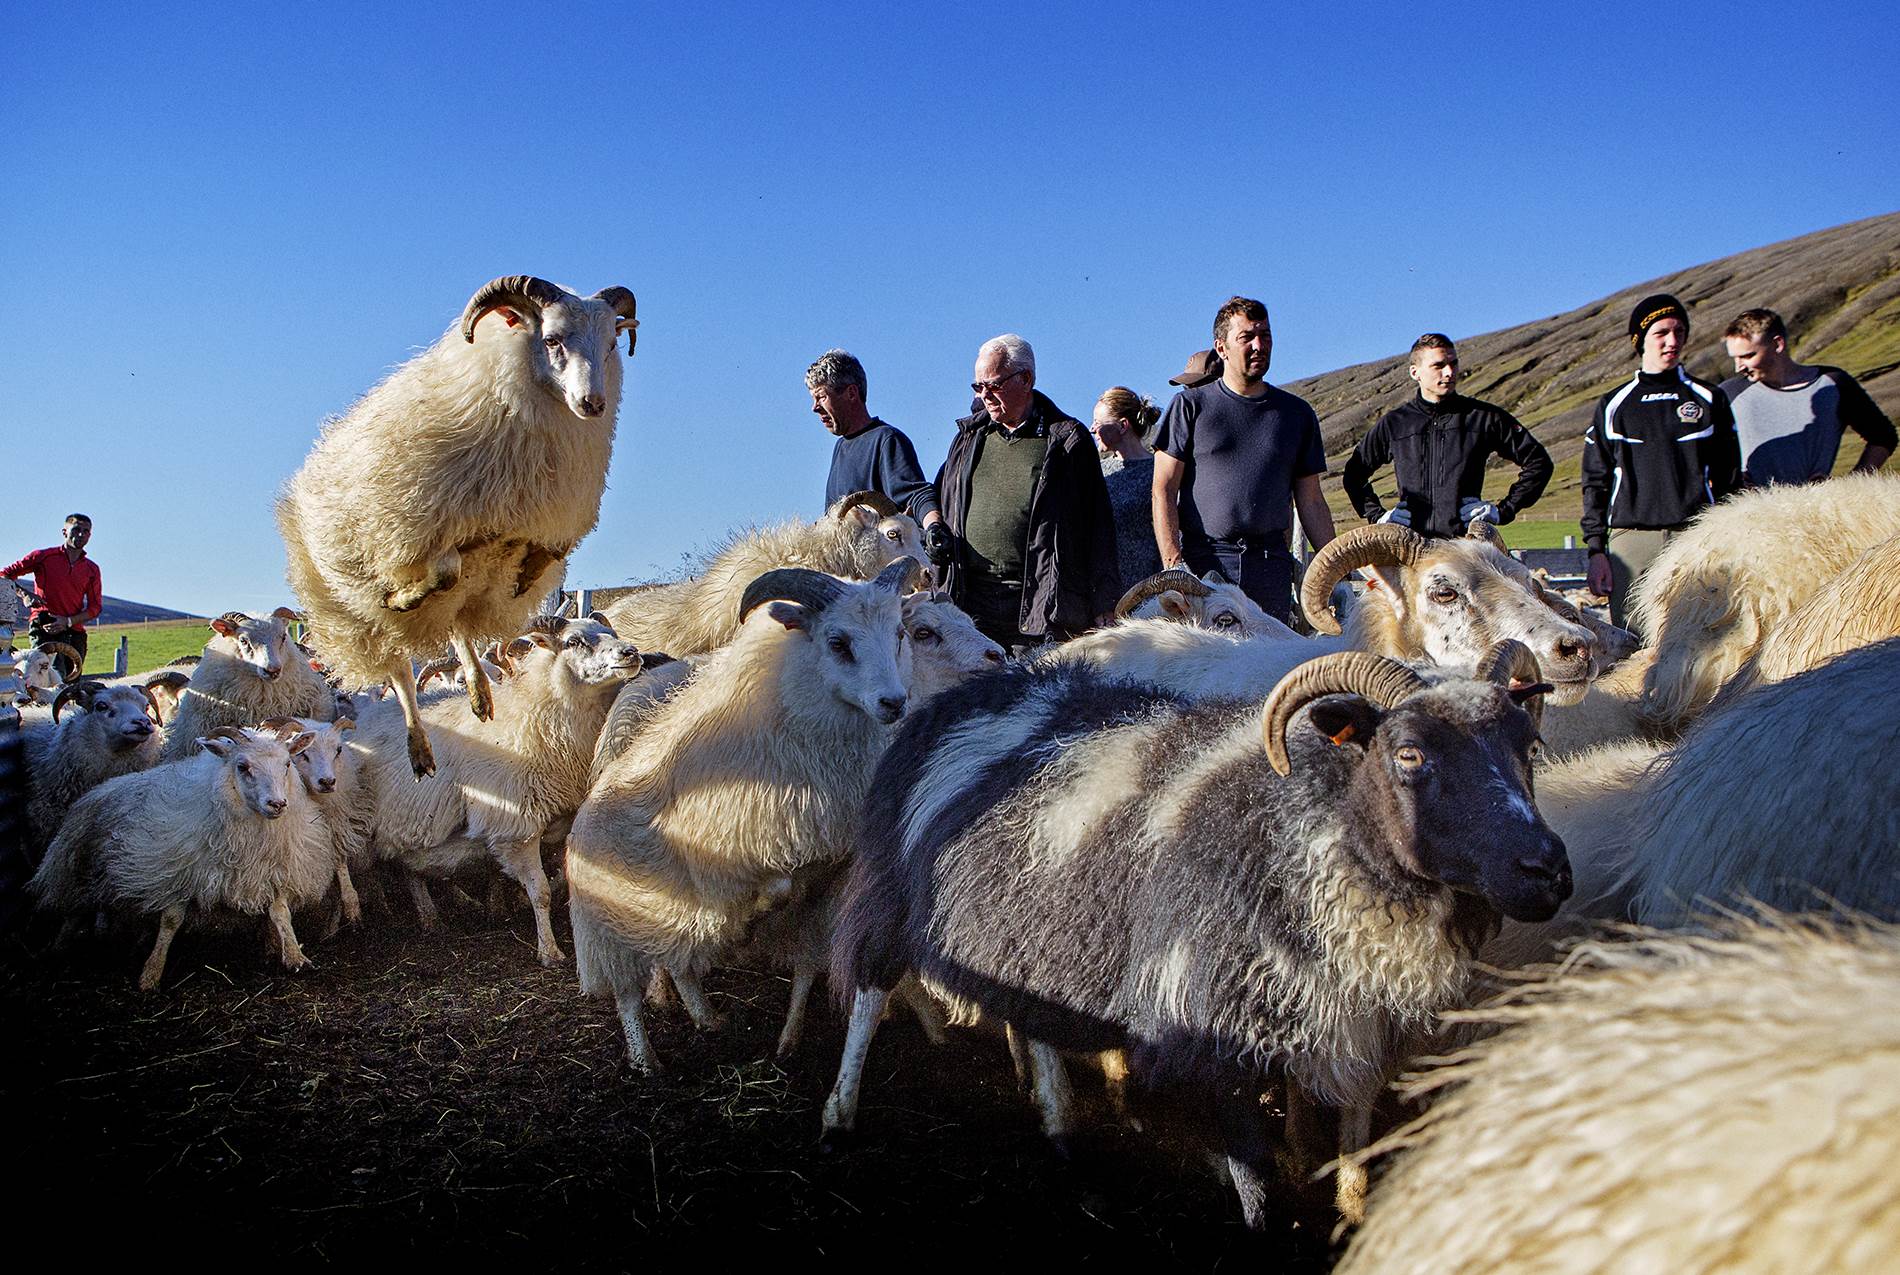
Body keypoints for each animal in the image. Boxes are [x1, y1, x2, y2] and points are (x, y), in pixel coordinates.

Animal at [30, 729, 330, 988]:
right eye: (242, 766)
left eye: (287, 764)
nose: (277, 804)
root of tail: (100, 788)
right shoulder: (178, 873)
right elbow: (171, 921)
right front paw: (151, 973)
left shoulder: (273, 869)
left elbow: (280, 912)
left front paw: (293, 955)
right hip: (77, 868)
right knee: (73, 910)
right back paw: (58, 946)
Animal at [277, 277, 642, 779]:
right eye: (552, 339)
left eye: (610, 344)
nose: (593, 404)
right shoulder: (429, 528)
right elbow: (443, 571)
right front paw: (402, 596)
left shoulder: (543, 514)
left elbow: (543, 553)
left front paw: (528, 573)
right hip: (359, 616)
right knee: (402, 670)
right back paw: (419, 744)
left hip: (473, 587)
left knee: (458, 626)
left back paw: (478, 691)